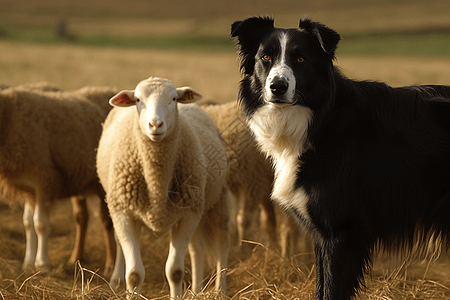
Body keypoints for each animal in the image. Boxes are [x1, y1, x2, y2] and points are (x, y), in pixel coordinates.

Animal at [0, 85, 118, 274]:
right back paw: (75, 259)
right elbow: (27, 223)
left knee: (106, 222)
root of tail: (110, 90)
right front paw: (28, 263)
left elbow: (40, 224)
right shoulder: (30, 187)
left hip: (104, 184)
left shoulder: (44, 178)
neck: (9, 118)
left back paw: (110, 265)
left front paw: (42, 264)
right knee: (82, 218)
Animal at [97, 76, 232, 296]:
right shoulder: (123, 212)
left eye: (174, 98)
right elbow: (134, 275)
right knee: (197, 249)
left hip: (216, 201)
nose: (155, 124)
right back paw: (195, 291)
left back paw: (219, 291)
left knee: (221, 244)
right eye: (137, 100)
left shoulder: (188, 214)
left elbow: (175, 272)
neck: (157, 181)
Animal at [232, 16, 450, 300]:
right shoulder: (321, 234)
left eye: (300, 59)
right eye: (265, 57)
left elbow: (331, 289)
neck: (321, 119)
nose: (278, 87)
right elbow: (321, 286)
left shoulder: (340, 230)